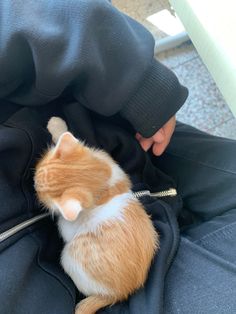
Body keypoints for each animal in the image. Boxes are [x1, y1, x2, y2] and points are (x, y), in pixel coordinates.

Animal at [34, 116, 159, 312]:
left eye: (40, 193)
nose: (33, 184)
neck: (103, 185)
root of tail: (121, 293)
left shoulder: (70, 226)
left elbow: (65, 227)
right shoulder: (110, 162)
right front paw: (57, 126)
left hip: (69, 258)